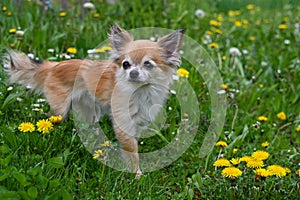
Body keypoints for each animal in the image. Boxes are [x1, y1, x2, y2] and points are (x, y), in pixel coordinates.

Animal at [4, 25, 183, 178]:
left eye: (148, 64)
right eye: (125, 64)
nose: (132, 72)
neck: (140, 92)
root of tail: (54, 65)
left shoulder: (138, 122)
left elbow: (133, 144)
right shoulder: (123, 124)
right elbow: (132, 150)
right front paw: (136, 175)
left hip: (90, 110)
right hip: (60, 111)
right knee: (51, 120)